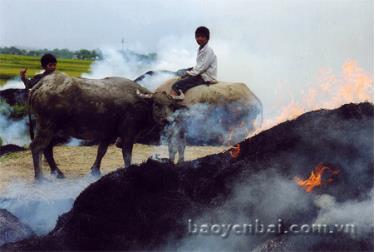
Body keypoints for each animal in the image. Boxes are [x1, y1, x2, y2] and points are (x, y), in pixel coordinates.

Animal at [28, 72, 184, 180]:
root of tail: (39, 85)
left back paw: (58, 173)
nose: (168, 120)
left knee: (47, 149)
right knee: (36, 147)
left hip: (51, 129)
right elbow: (127, 154)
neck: (141, 104)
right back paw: (40, 177)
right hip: (47, 126)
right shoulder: (128, 135)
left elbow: (101, 151)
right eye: (157, 104)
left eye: (171, 105)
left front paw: (95, 171)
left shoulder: (107, 134)